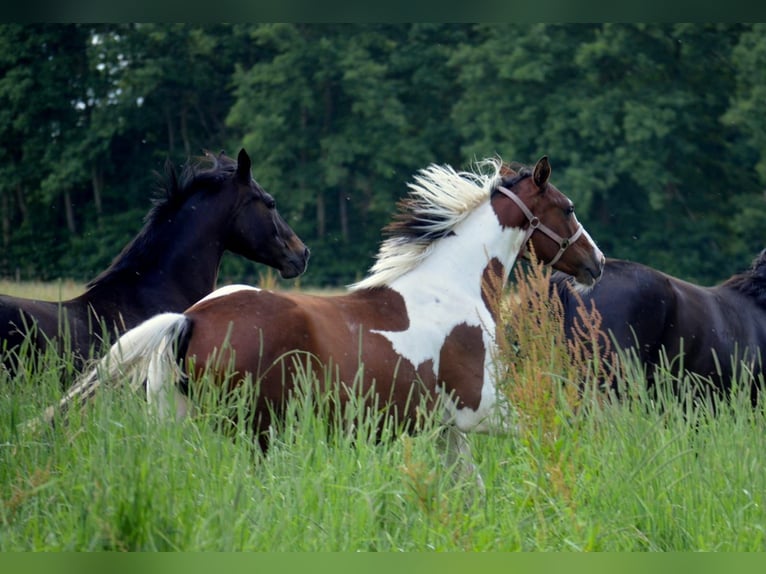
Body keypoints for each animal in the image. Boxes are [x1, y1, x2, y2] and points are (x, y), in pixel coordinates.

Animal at [52, 156, 608, 486]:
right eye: (567, 207)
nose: (597, 263)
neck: (454, 287)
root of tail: (190, 319)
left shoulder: (446, 427)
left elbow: (469, 485)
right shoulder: (483, 409)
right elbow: (551, 431)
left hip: (183, 420)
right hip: (256, 429)